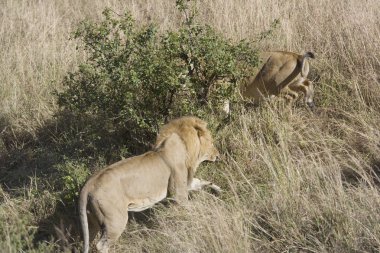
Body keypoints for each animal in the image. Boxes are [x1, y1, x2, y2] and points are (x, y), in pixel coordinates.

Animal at [78, 116, 220, 253]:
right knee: (101, 245)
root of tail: (89, 184)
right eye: (212, 142)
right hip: (115, 220)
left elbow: (201, 182)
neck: (185, 146)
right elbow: (190, 206)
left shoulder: (185, 184)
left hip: (92, 222)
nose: (218, 155)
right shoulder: (178, 193)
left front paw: (218, 191)